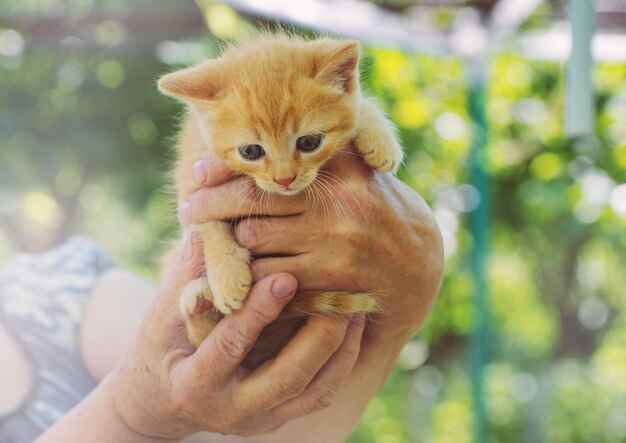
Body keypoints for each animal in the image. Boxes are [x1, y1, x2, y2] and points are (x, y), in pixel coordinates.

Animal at [158, 34, 402, 360]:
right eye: (251, 151)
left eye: (309, 142)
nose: (285, 179)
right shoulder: (192, 185)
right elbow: (207, 225)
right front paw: (226, 274)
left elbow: (359, 105)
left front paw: (379, 137)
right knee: (200, 338)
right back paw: (202, 300)